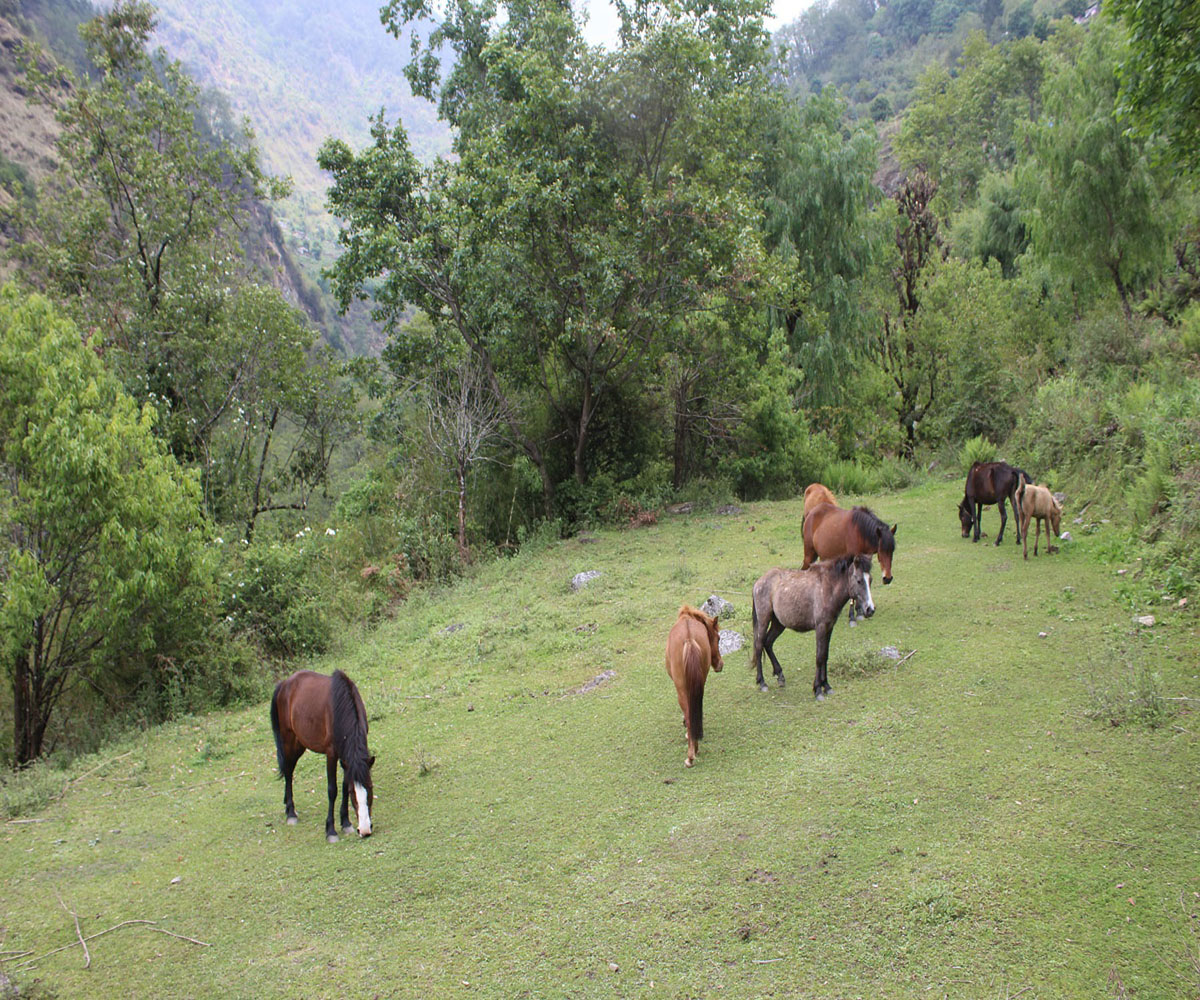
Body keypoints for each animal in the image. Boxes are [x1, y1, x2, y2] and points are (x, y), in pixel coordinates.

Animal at [271, 667, 374, 840]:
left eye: (370, 788)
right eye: (353, 793)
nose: (365, 830)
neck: (341, 708)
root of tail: (284, 684)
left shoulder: (345, 758)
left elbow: (344, 785)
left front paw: (346, 823)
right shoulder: (331, 754)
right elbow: (333, 790)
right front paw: (331, 830)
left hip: (300, 743)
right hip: (288, 740)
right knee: (288, 771)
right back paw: (291, 813)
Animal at [667, 609, 720, 763]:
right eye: (719, 638)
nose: (720, 665)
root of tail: (690, 639)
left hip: (681, 690)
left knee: (689, 715)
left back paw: (691, 755)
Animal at [748, 554, 873, 701]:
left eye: (870, 580)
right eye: (859, 580)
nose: (870, 609)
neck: (828, 588)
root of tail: (758, 582)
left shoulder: (829, 627)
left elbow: (825, 655)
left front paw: (827, 686)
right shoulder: (820, 628)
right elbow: (819, 657)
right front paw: (818, 689)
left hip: (779, 623)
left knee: (768, 643)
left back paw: (780, 676)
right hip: (764, 620)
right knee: (759, 645)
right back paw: (762, 683)